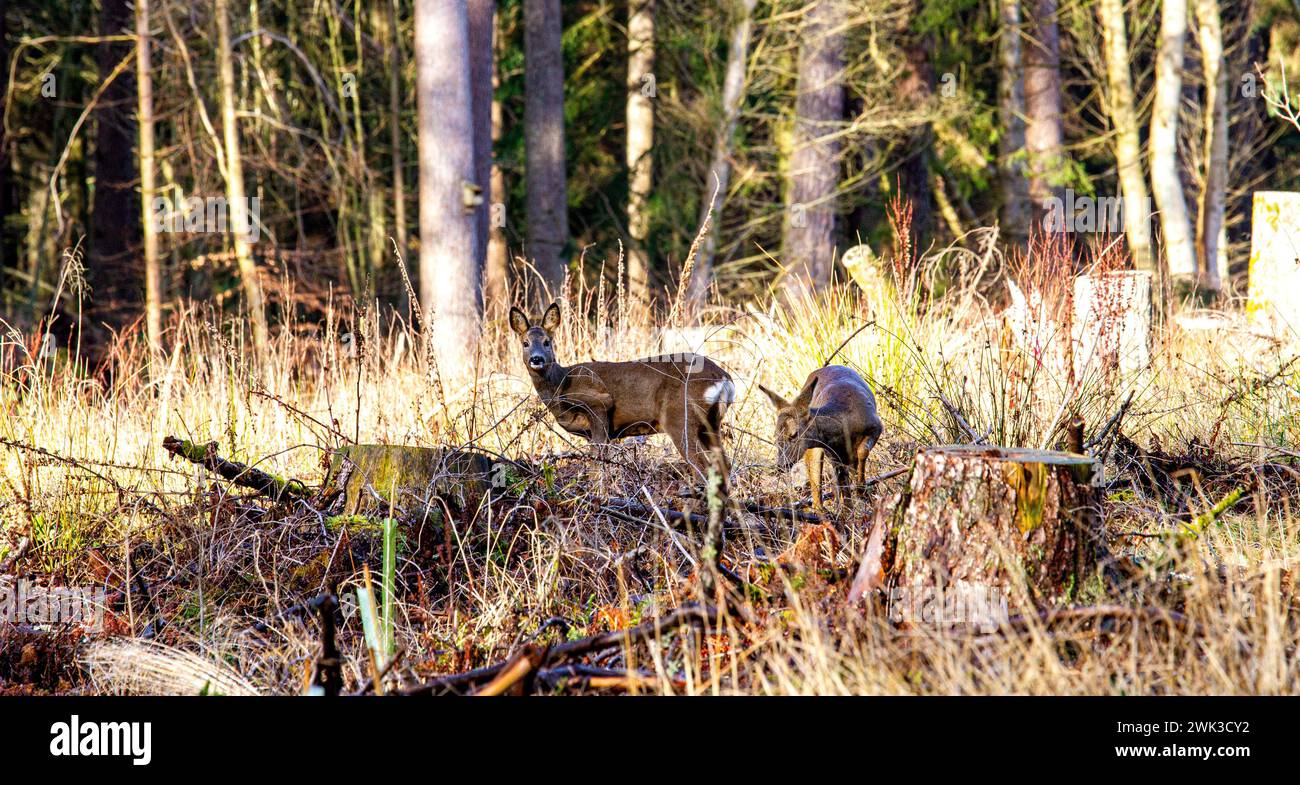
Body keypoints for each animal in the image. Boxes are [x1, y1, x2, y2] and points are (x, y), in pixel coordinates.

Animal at [504, 305, 733, 478]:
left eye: (547, 342)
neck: (562, 385)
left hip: (680, 416)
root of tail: (723, 378)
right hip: (711, 424)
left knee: (701, 465)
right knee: (724, 463)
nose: (537, 359)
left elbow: (597, 464)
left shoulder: (599, 403)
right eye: (525, 343)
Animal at [759, 363, 889, 512]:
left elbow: (862, 451)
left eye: (794, 434)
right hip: (814, 451)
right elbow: (842, 482)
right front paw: (849, 509)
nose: (781, 465)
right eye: (775, 435)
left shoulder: (876, 426)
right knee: (817, 491)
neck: (846, 423)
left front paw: (861, 490)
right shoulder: (832, 452)